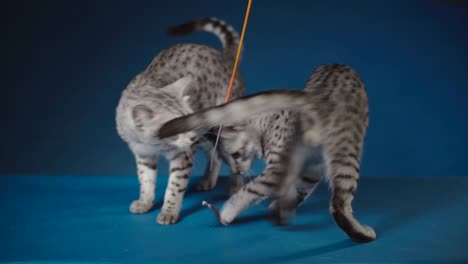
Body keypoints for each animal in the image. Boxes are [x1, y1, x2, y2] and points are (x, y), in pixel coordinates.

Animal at [115, 17, 245, 225]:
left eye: (189, 119)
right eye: (175, 127)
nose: (191, 137)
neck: (154, 145)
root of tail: (224, 56)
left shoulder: (183, 155)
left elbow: (175, 187)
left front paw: (169, 211)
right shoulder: (143, 154)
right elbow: (145, 180)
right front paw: (145, 201)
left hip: (224, 127)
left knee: (239, 159)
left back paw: (236, 188)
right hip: (207, 134)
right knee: (214, 153)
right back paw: (208, 180)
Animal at [157, 63, 376, 241]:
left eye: (236, 155)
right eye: (227, 161)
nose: (236, 171)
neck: (267, 124)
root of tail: (315, 95)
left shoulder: (280, 167)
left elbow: (250, 190)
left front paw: (227, 212)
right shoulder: (300, 166)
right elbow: (289, 191)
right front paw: (278, 209)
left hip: (339, 152)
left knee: (337, 203)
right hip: (331, 158)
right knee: (333, 202)